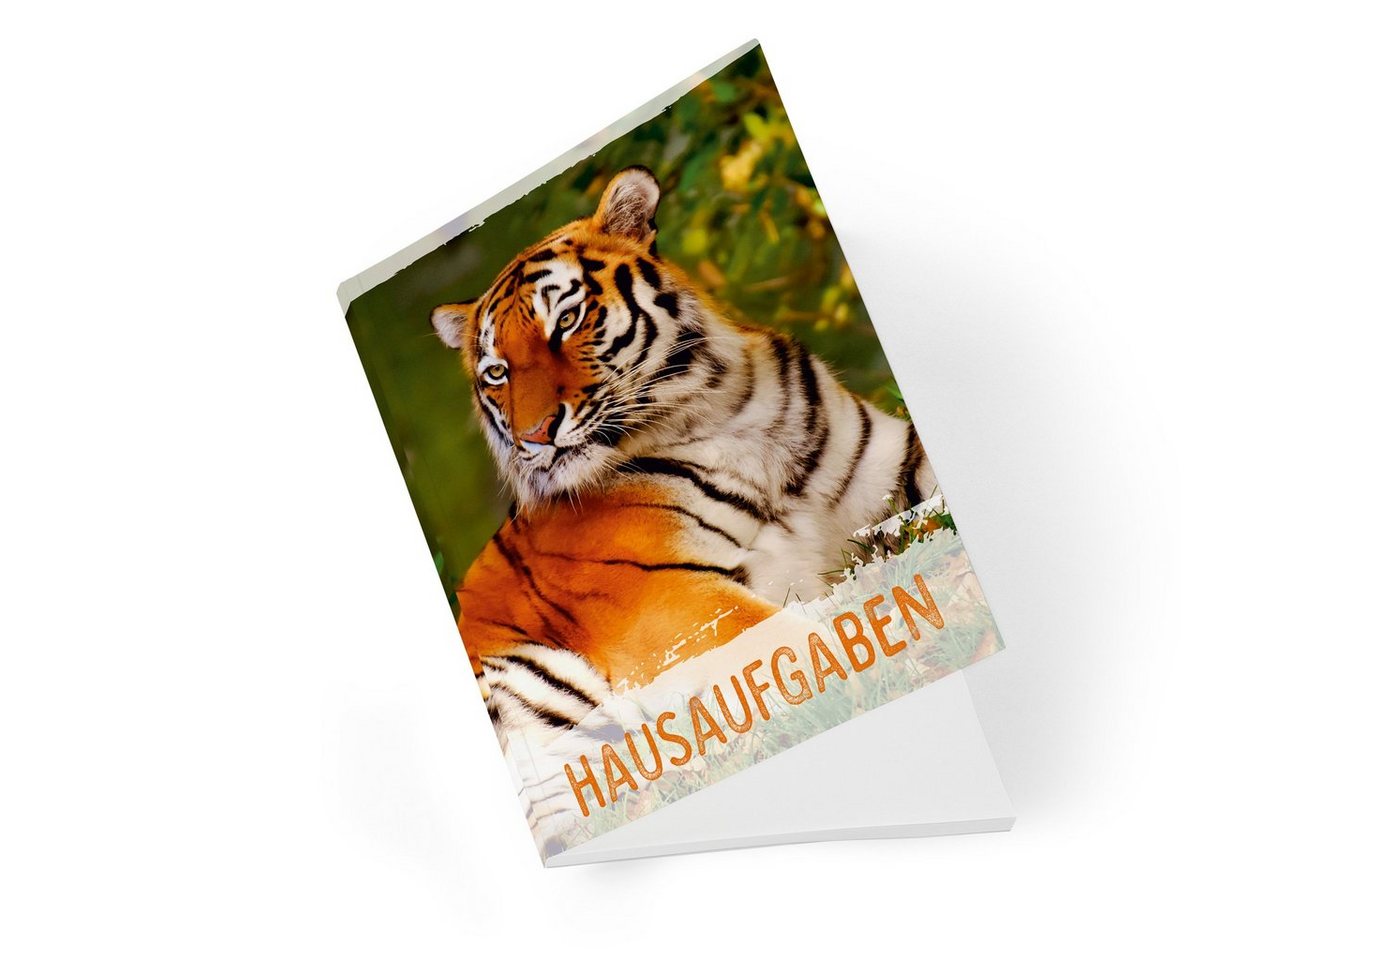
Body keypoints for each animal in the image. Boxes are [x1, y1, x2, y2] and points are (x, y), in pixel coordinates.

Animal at [431, 166, 937, 767]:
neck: (725, 409)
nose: (535, 434)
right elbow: (797, 642)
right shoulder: (668, 596)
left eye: (568, 320)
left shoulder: (892, 466)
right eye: (497, 372)